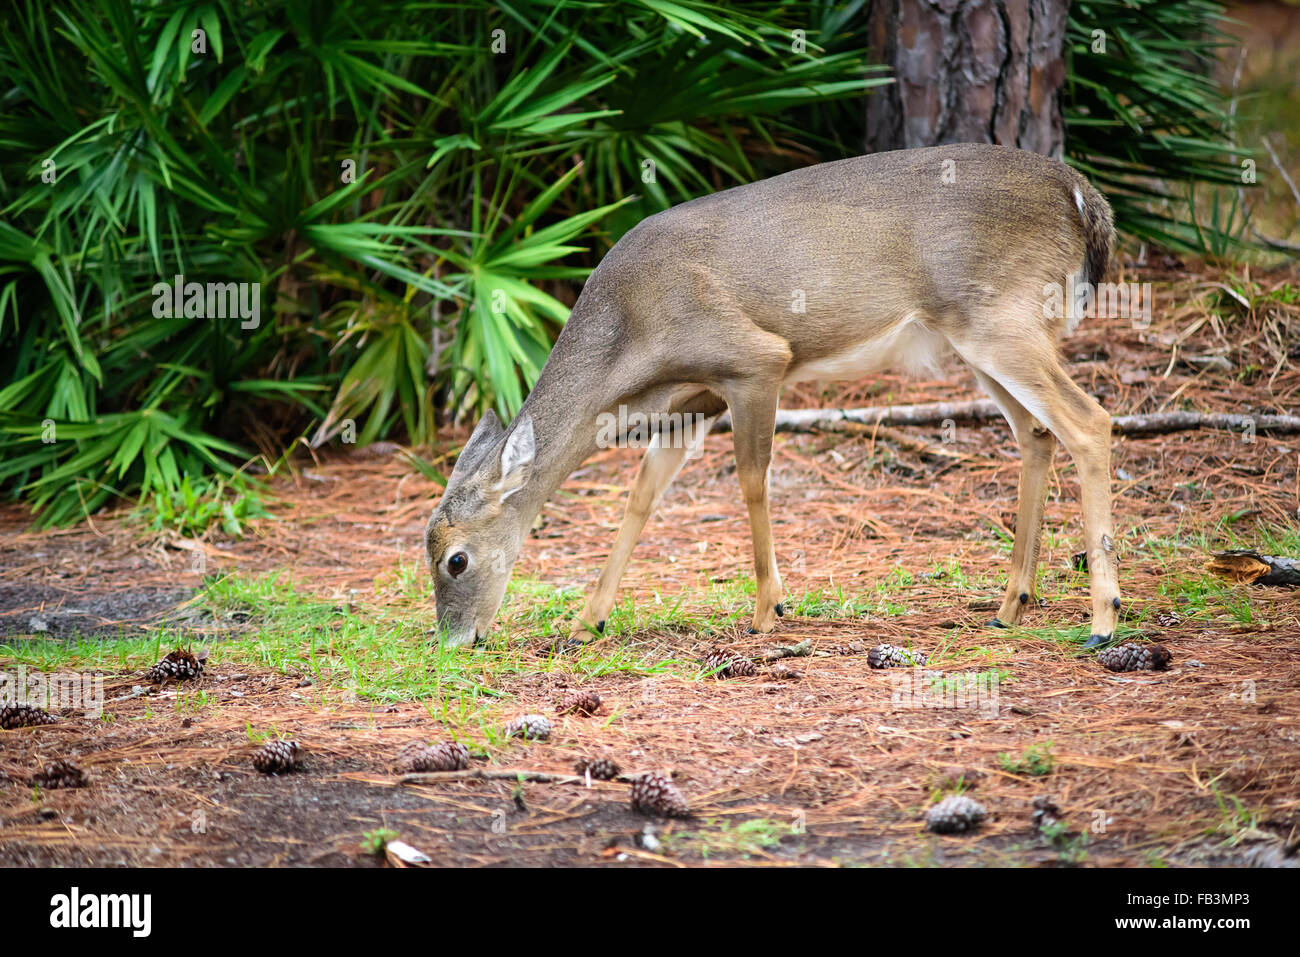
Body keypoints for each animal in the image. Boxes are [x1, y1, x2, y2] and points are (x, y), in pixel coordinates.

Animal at [425, 143, 1121, 652]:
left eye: (455, 560)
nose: (454, 642)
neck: (632, 343)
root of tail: (1080, 193)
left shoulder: (754, 361)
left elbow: (752, 479)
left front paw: (768, 608)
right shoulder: (692, 402)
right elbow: (642, 497)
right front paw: (588, 618)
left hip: (999, 317)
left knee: (1090, 421)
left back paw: (1103, 618)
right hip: (982, 339)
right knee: (1036, 433)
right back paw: (1011, 604)